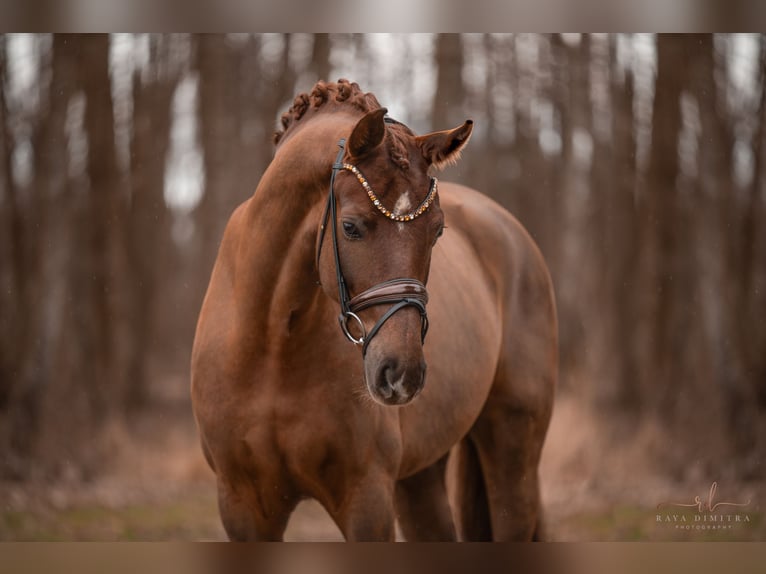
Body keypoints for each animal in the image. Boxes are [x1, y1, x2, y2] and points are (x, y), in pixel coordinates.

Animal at [192, 81, 560, 544]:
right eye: (350, 227)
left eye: (437, 230)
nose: (401, 373)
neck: (273, 344)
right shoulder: (243, 506)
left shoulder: (366, 499)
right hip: (421, 475)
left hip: (513, 447)